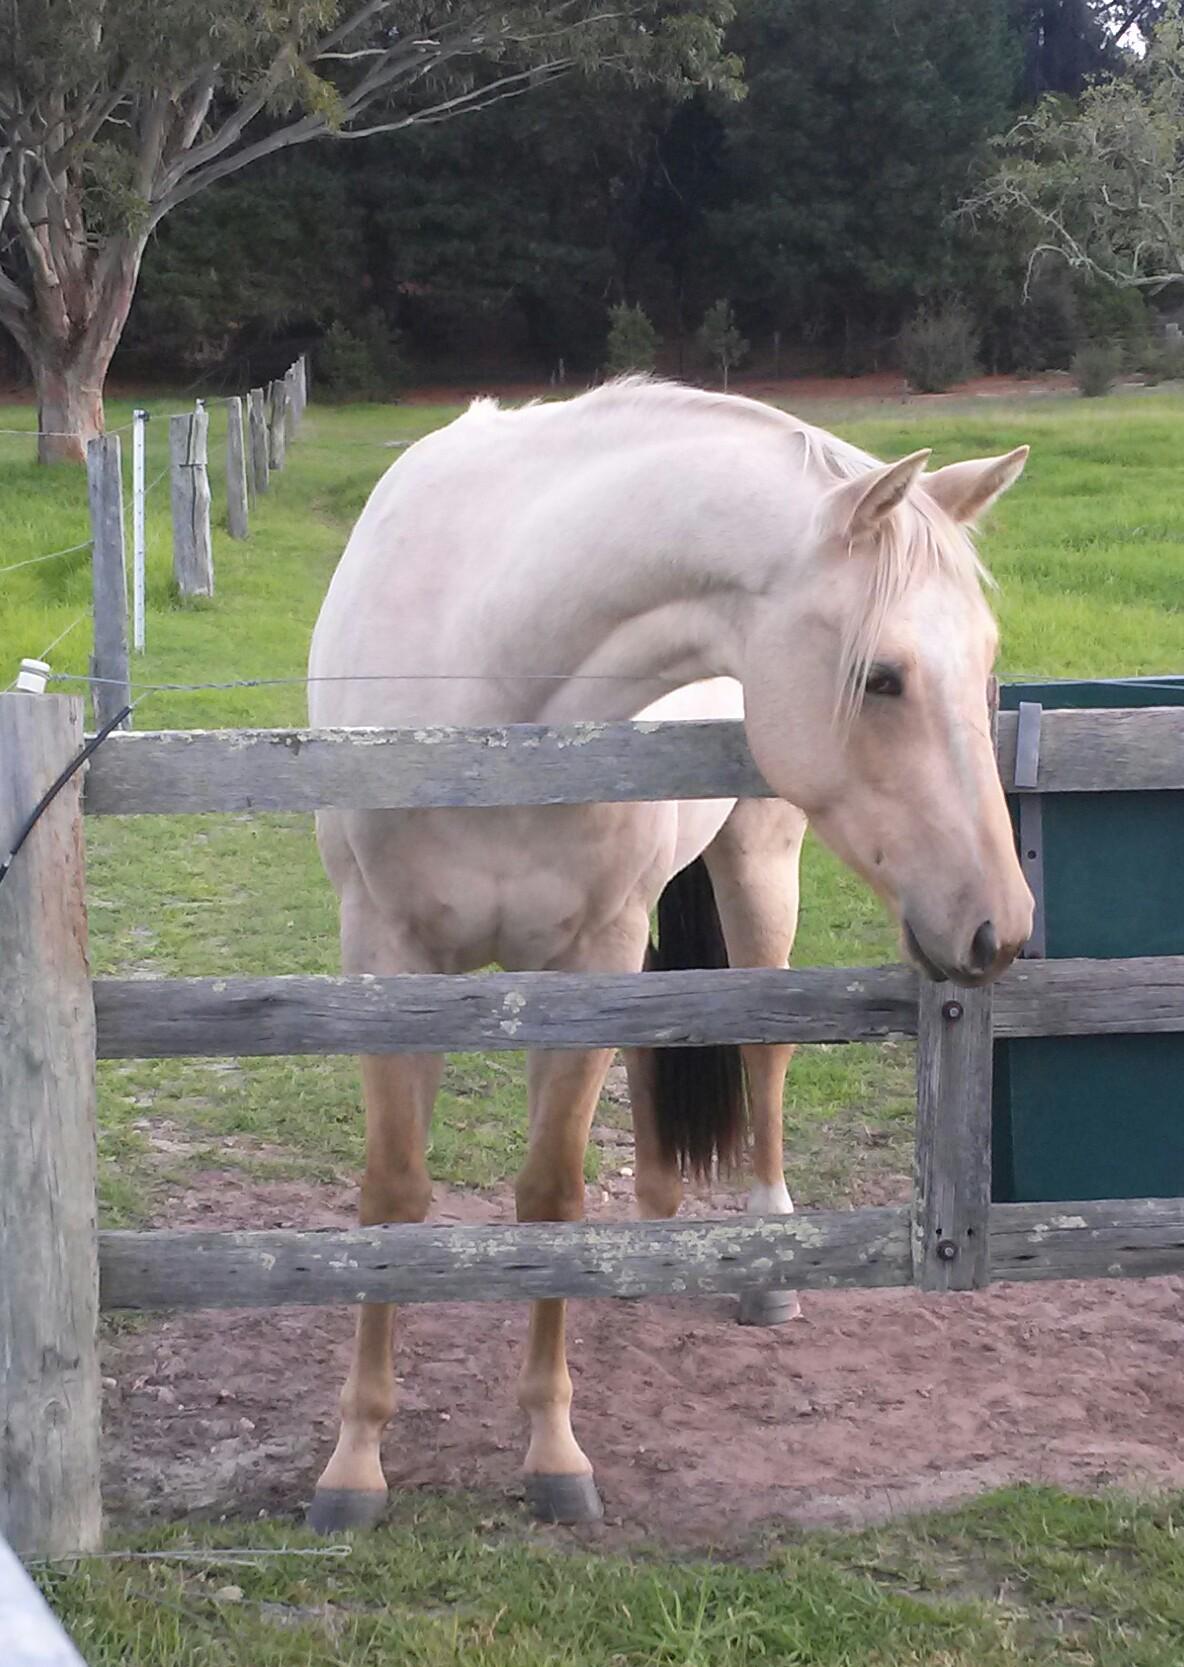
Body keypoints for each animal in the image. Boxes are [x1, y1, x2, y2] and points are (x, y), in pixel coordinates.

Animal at [305, 378, 1033, 1529]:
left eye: (989, 663)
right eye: (882, 678)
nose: (997, 926)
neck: (492, 680)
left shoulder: (587, 958)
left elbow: (549, 1191)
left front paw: (553, 1449)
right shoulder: (384, 956)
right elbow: (392, 1193)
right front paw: (354, 1460)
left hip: (758, 869)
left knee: (763, 1060)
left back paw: (764, 1268)